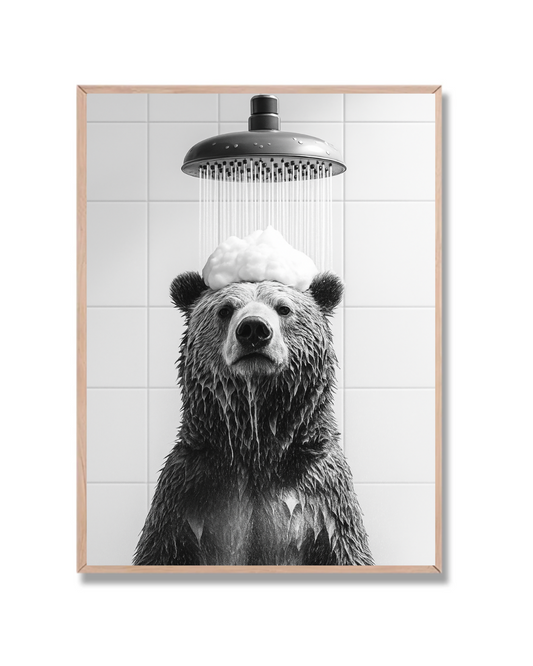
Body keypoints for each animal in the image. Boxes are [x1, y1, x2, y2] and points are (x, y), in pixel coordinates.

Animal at [133, 272, 373, 566]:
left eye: (284, 308)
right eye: (225, 309)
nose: (254, 330)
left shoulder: (325, 498)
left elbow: (348, 551)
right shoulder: (186, 492)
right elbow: (158, 550)